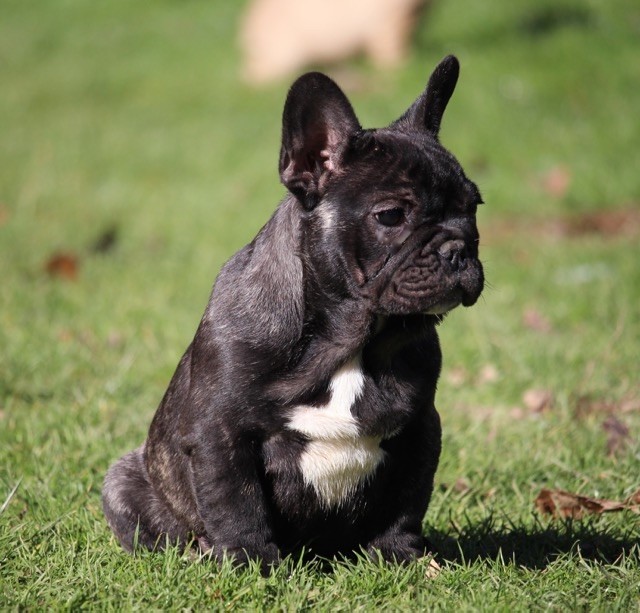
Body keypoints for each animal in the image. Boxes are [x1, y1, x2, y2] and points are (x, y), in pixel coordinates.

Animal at [104, 55, 484, 568]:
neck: (350, 338)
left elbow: (407, 500)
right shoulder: (220, 432)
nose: (457, 248)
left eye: (474, 207)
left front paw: (399, 554)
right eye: (390, 216)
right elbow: (235, 500)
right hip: (122, 481)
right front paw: (249, 560)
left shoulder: (419, 427)